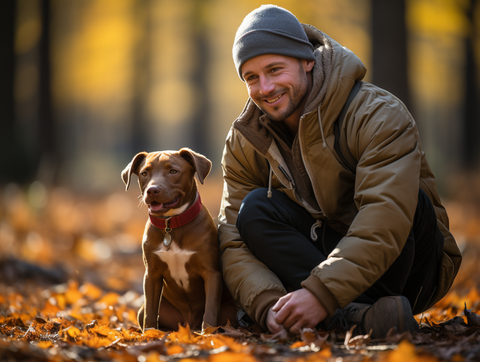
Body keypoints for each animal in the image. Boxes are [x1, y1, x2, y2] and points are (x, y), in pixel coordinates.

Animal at [123, 147, 230, 330]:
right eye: (144, 173)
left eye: (173, 171)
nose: (152, 190)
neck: (171, 224)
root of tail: (190, 323)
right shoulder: (152, 274)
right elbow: (151, 312)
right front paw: (150, 333)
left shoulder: (211, 273)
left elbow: (210, 309)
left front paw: (208, 333)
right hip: (146, 310)